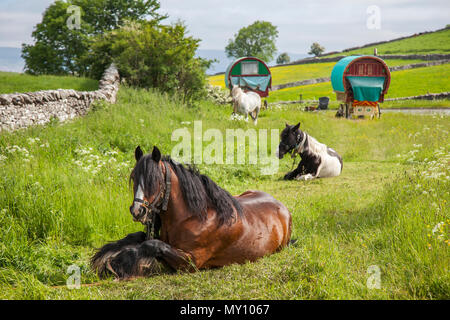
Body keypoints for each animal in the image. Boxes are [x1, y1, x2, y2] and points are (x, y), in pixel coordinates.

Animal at [91, 146, 292, 278]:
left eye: (154, 180)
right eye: (134, 178)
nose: (137, 211)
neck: (193, 217)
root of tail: (282, 207)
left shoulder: (191, 262)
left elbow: (151, 245)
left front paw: (114, 264)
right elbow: (138, 237)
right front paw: (105, 253)